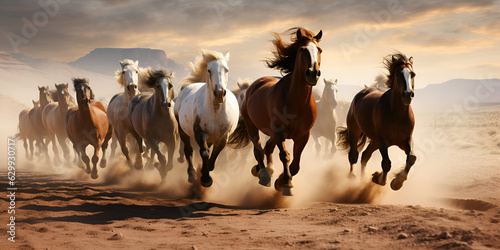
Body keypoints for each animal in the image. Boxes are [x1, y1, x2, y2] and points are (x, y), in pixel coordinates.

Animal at [175, 48, 239, 187]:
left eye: (226, 70)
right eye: (209, 70)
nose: (219, 93)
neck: (215, 112)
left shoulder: (223, 137)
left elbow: (214, 154)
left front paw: (207, 171)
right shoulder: (200, 133)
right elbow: (204, 153)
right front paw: (205, 179)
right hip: (183, 131)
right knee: (188, 150)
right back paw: (192, 174)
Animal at [229, 26, 322, 195]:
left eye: (319, 50)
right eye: (302, 49)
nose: (313, 73)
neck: (296, 102)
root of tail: (254, 85)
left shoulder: (303, 135)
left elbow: (295, 164)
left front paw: (281, 180)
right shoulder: (279, 131)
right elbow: (285, 155)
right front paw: (287, 185)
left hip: (272, 132)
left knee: (267, 148)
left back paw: (265, 170)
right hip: (252, 126)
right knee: (259, 149)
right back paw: (264, 174)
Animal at [336, 52, 418, 189]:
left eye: (413, 74)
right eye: (398, 74)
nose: (407, 95)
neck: (397, 115)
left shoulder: (406, 139)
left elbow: (411, 158)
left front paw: (397, 182)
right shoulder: (383, 140)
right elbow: (386, 163)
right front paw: (379, 179)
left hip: (374, 141)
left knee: (365, 156)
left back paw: (362, 179)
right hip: (355, 132)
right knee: (354, 155)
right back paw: (353, 177)